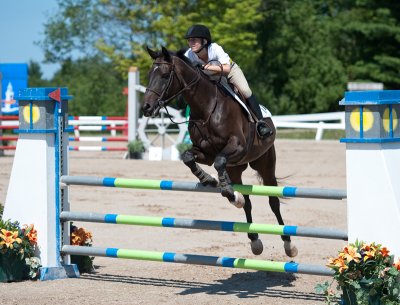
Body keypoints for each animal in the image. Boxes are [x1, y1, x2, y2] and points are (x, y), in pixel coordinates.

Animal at [141, 46, 296, 256]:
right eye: (150, 74)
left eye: (165, 75)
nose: (146, 107)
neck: (206, 108)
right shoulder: (206, 153)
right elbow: (189, 157)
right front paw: (210, 180)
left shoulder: (237, 146)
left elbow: (219, 161)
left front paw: (224, 189)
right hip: (236, 168)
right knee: (247, 201)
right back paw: (254, 238)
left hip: (264, 162)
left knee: (273, 200)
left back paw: (288, 244)